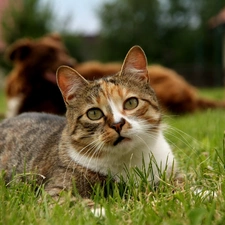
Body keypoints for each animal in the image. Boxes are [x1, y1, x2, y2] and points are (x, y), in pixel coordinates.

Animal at [0, 45, 179, 213]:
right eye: (94, 113)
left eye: (131, 103)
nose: (117, 124)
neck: (130, 158)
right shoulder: (55, 192)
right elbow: (73, 203)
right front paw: (105, 211)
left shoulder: (170, 172)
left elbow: (180, 189)